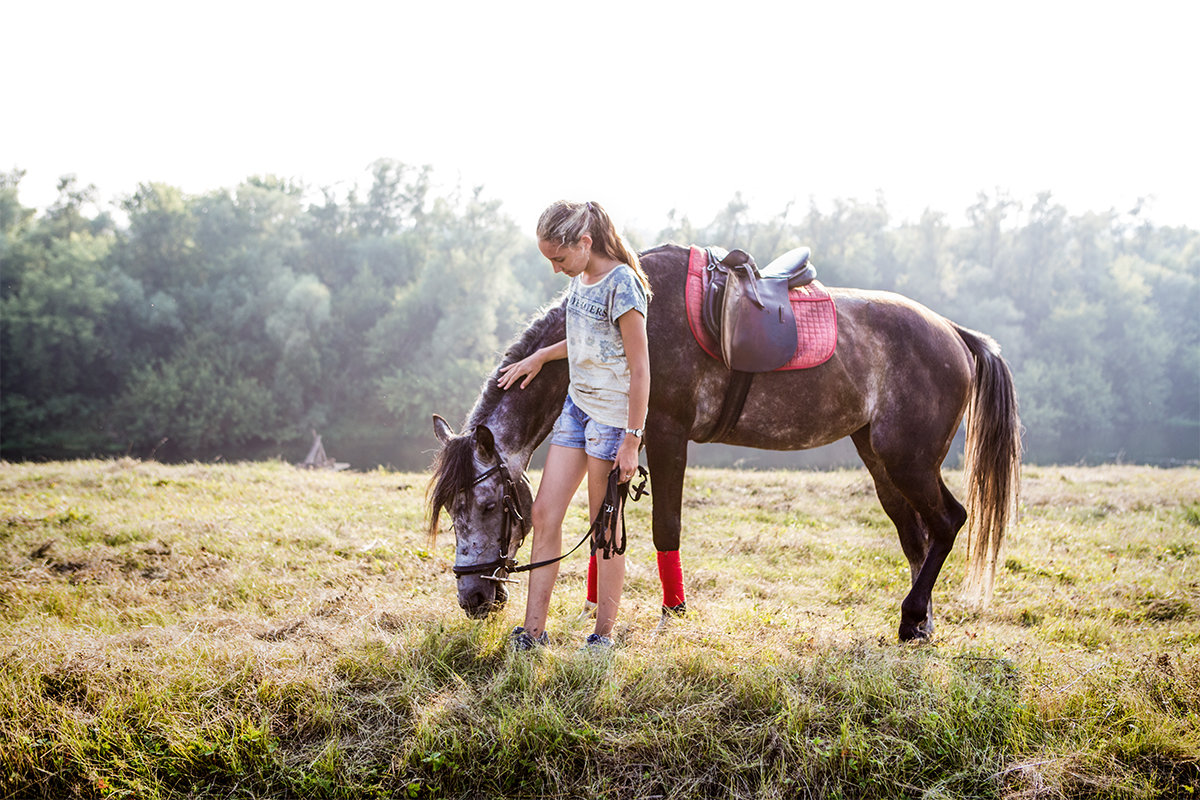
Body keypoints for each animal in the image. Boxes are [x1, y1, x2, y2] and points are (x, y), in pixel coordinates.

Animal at [427, 241, 1017, 642]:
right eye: (451, 510)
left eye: (487, 504)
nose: (472, 597)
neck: (634, 320)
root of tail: (954, 333)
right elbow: (605, 523)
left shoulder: (666, 434)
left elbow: (665, 526)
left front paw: (673, 611)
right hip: (880, 459)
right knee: (916, 536)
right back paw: (921, 623)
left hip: (909, 460)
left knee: (948, 521)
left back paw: (912, 617)